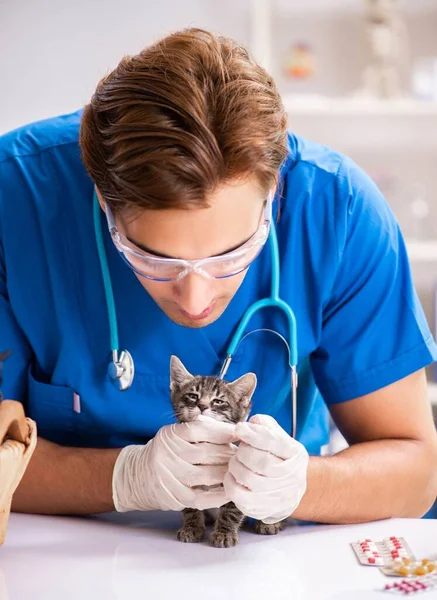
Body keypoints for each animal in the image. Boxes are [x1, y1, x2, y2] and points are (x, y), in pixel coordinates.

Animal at [169, 356, 284, 548]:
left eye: (218, 401)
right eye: (193, 396)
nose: (202, 406)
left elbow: (231, 510)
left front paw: (224, 533)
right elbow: (189, 504)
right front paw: (192, 527)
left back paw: (270, 522)